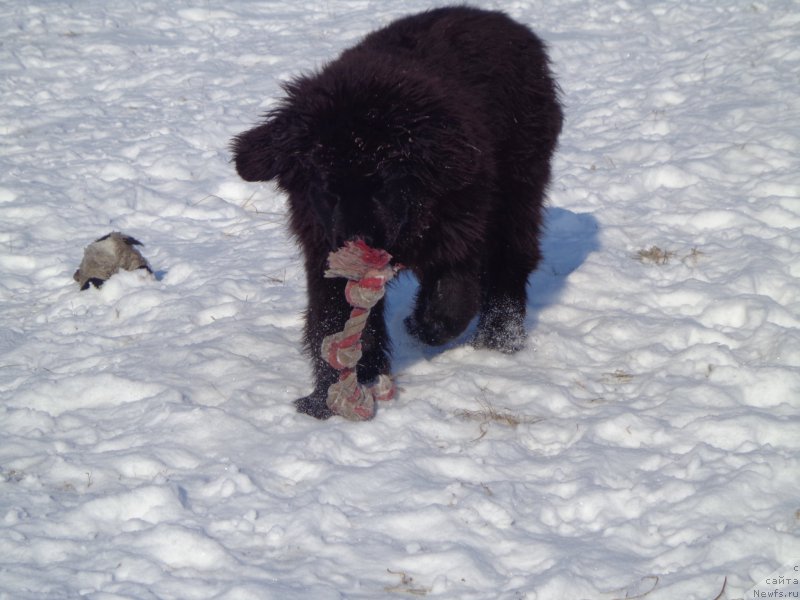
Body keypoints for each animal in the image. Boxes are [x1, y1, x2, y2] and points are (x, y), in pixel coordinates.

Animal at [231, 5, 564, 418]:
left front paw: (429, 324)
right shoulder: (322, 245)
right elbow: (334, 318)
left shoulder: (461, 222)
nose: (358, 244)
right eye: (327, 189)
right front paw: (328, 396)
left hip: (519, 185)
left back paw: (499, 336)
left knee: (511, 257)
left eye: (384, 186)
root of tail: (498, 18)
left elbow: (455, 292)